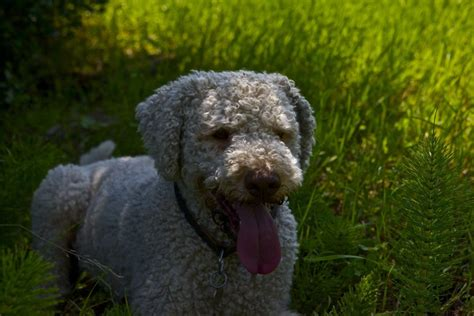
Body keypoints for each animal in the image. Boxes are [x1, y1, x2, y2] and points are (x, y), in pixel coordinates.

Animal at [31, 70, 316, 314]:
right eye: (220, 133)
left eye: (281, 133)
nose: (265, 180)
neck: (222, 256)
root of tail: (97, 164)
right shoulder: (163, 302)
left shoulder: (270, 305)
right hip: (59, 194)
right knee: (50, 268)